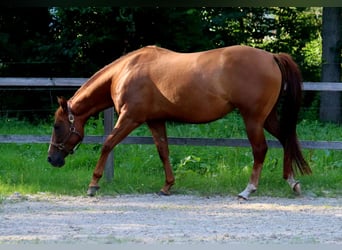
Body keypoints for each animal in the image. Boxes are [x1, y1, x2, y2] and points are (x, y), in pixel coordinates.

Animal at [46, 45, 312, 199]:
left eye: (57, 126)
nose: (51, 159)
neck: (126, 71)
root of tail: (271, 57)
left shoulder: (130, 118)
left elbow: (108, 144)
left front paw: (93, 184)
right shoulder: (155, 121)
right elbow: (163, 151)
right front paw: (167, 186)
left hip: (253, 119)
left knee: (260, 150)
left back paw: (249, 190)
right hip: (267, 118)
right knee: (286, 138)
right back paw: (292, 182)